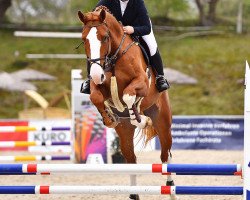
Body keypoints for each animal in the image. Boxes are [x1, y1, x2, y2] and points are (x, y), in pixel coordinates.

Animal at [79, 6, 175, 200]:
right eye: (84, 39)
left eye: (104, 37)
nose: (95, 74)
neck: (114, 58)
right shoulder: (98, 85)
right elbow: (96, 97)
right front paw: (109, 118)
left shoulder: (141, 83)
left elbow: (128, 96)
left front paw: (141, 119)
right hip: (124, 131)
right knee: (131, 159)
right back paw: (134, 194)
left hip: (162, 121)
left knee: (165, 155)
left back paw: (170, 189)